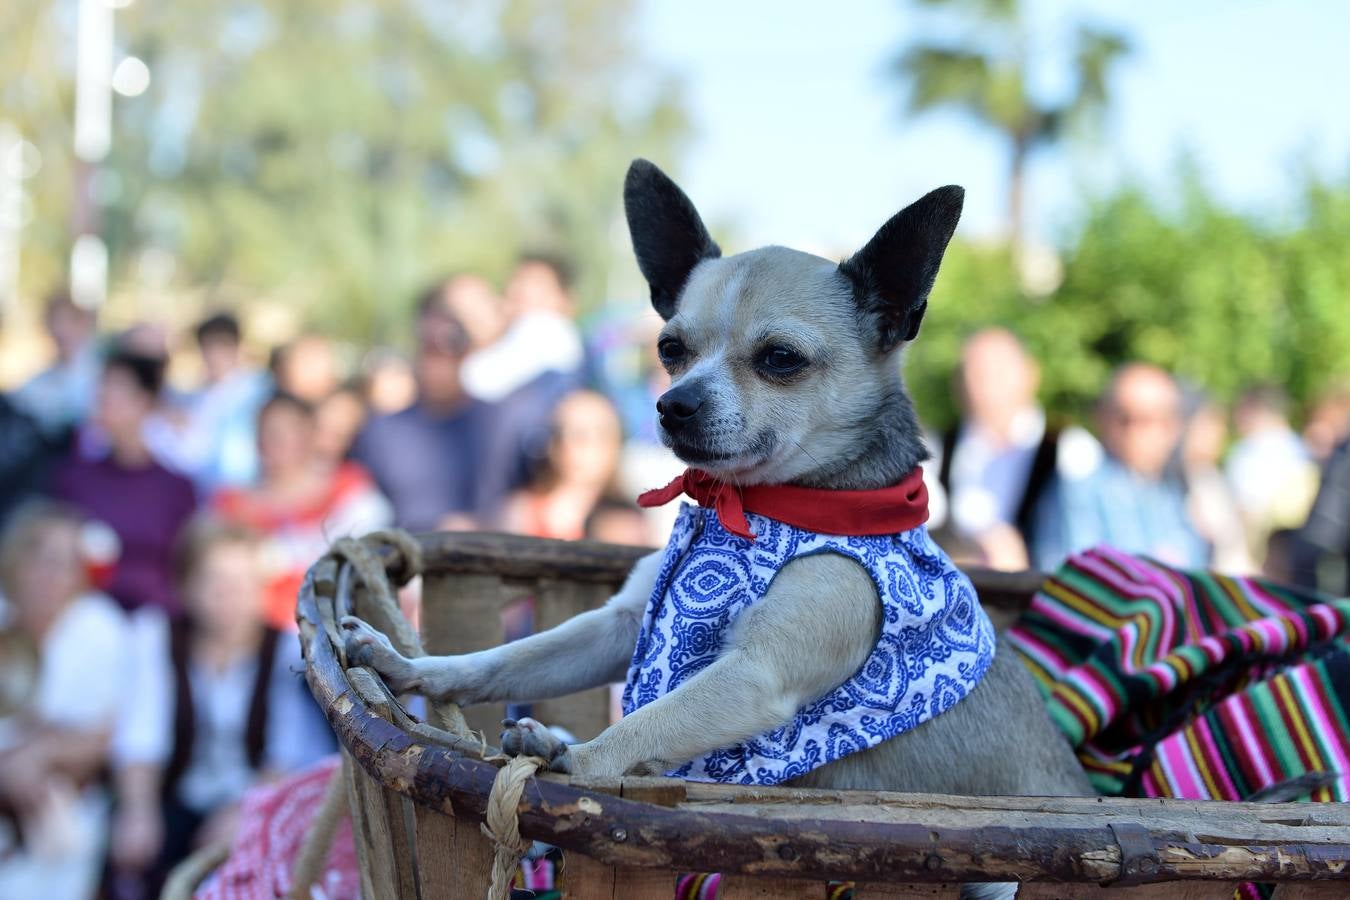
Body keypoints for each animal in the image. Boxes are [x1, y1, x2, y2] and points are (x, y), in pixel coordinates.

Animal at [342, 158, 1090, 820]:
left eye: (781, 359)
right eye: (670, 349)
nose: (673, 403)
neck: (758, 507)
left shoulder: (754, 676)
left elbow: (645, 723)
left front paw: (581, 759)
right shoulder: (618, 626)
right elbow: (508, 659)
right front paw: (417, 669)